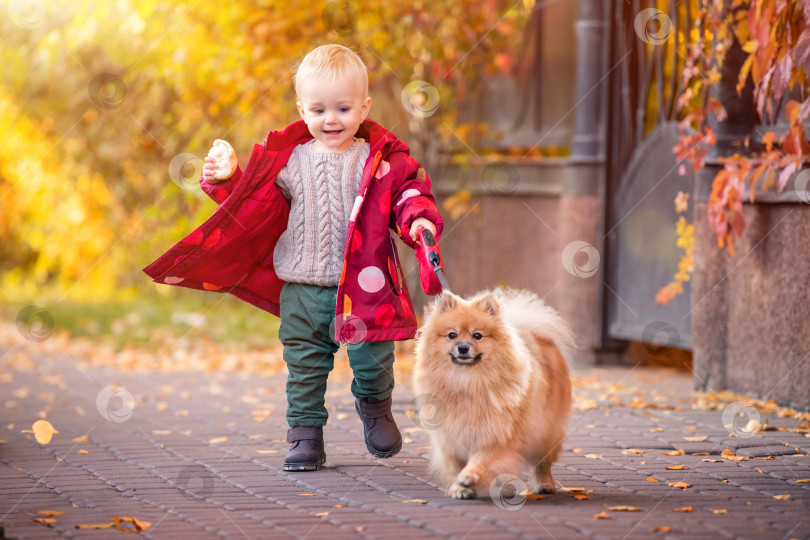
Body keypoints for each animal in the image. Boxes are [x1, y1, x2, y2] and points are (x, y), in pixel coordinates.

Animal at [414, 288, 572, 500]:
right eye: (452, 335)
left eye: (477, 335)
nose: (462, 347)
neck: (467, 382)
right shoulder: (450, 440)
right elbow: (454, 468)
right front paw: (460, 489)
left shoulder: (496, 436)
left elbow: (481, 460)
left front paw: (469, 476)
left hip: (544, 432)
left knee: (542, 463)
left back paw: (545, 484)